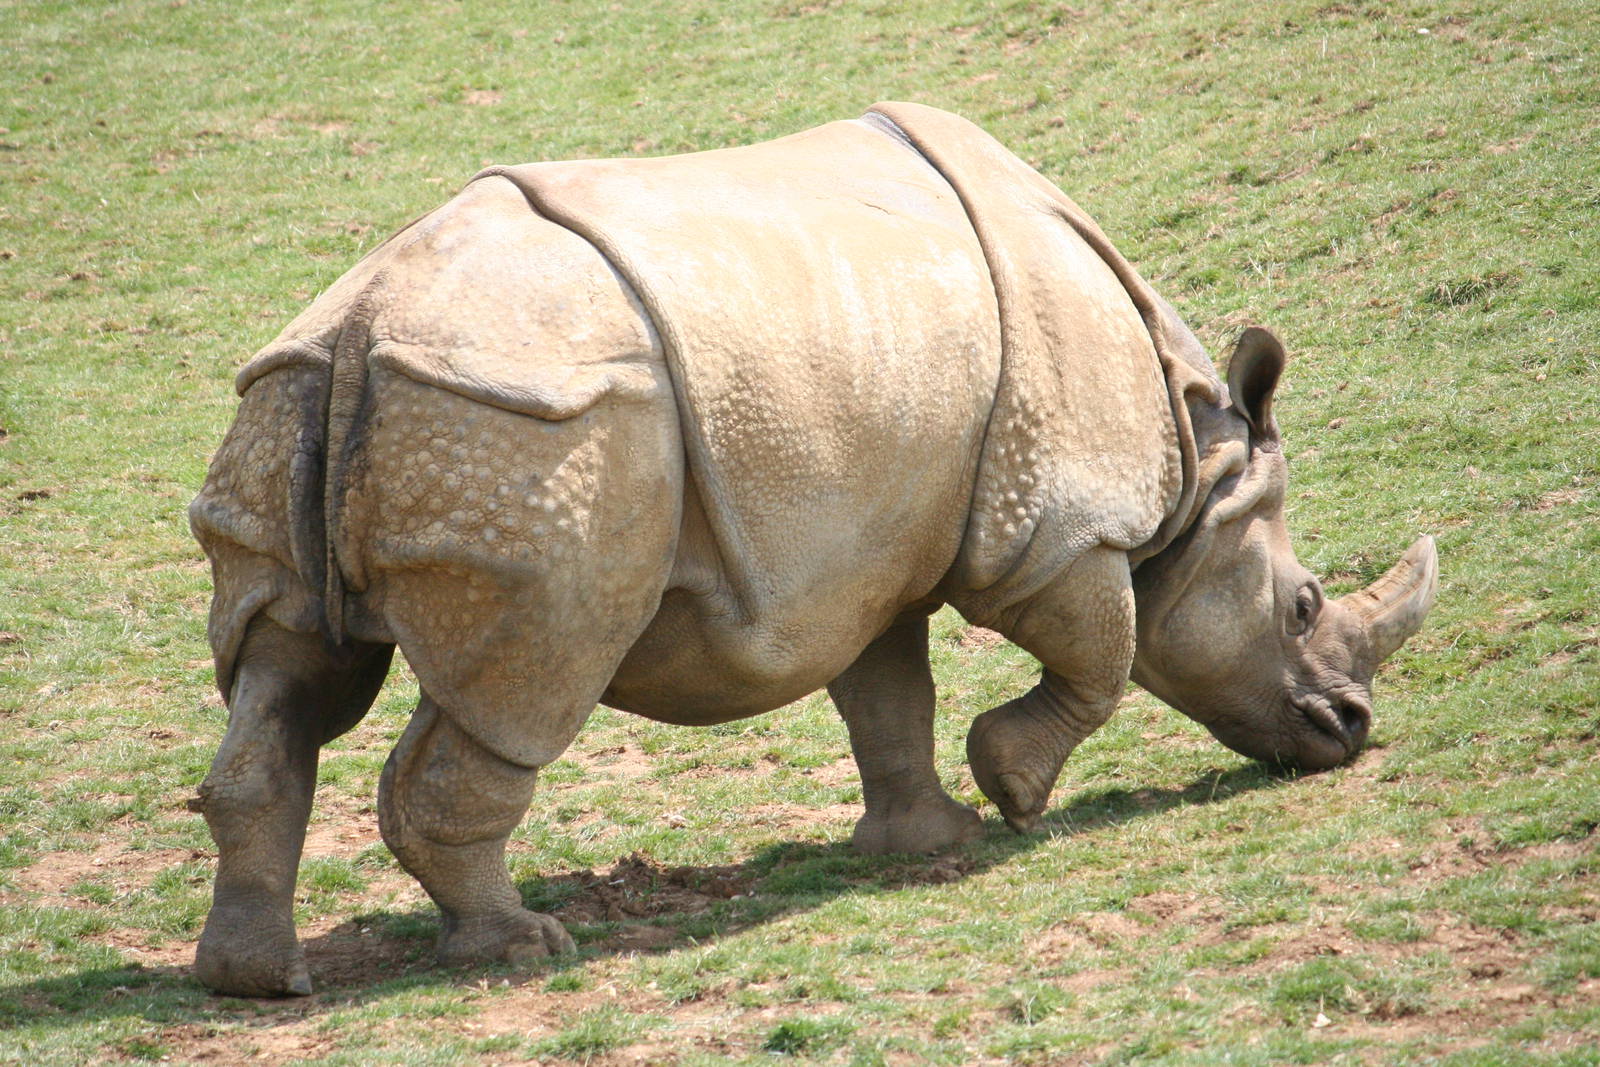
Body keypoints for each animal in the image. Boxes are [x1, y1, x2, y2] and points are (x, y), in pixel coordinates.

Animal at [187, 102, 1437, 996]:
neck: (1197, 461)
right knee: (532, 679)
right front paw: (1014, 794)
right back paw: (519, 948)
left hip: (301, 401)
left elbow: (888, 695)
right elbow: (1100, 658)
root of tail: (364, 327)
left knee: (288, 669)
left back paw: (259, 981)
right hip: (526, 430)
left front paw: (927, 839)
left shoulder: (870, 550)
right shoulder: (1053, 523)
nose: (1349, 731)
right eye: (1302, 604)